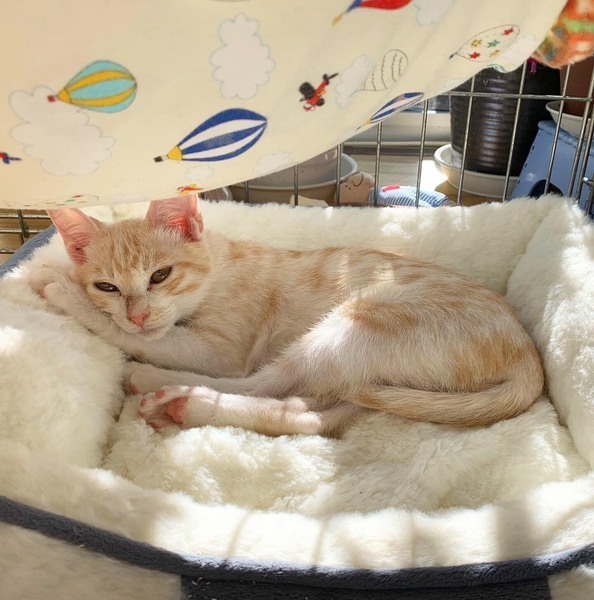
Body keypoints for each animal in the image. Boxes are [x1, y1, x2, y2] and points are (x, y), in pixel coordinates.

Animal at [36, 193, 544, 437]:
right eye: (107, 286)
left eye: (160, 275)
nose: (138, 314)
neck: (220, 264)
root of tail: (529, 357)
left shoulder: (224, 351)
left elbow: (153, 339)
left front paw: (62, 293)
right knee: (314, 415)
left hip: (359, 319)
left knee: (268, 384)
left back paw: (172, 393)